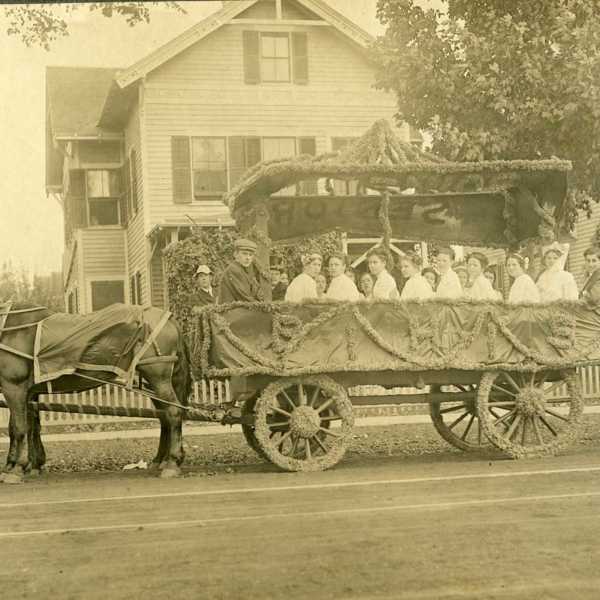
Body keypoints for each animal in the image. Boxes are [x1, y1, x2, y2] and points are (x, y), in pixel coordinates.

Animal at [0, 304, 191, 482]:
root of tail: (169, 318)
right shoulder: (26, 391)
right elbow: (27, 426)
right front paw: (25, 465)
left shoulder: (14, 387)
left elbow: (19, 428)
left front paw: (16, 468)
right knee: (165, 417)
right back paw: (161, 460)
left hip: (158, 378)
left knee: (173, 412)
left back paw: (172, 463)